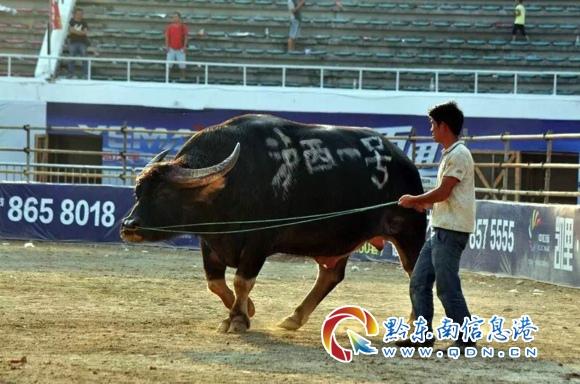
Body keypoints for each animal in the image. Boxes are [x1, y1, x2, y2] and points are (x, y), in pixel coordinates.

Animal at [121, 113, 426, 332]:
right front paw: (249, 310)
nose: (128, 225)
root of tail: (406, 163)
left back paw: (415, 325)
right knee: (330, 275)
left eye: (164, 194)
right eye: (138, 192)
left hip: (410, 233)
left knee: (415, 273)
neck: (233, 183)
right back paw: (294, 317)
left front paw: (238, 319)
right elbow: (215, 283)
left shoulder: (259, 242)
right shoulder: (210, 241)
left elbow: (242, 280)